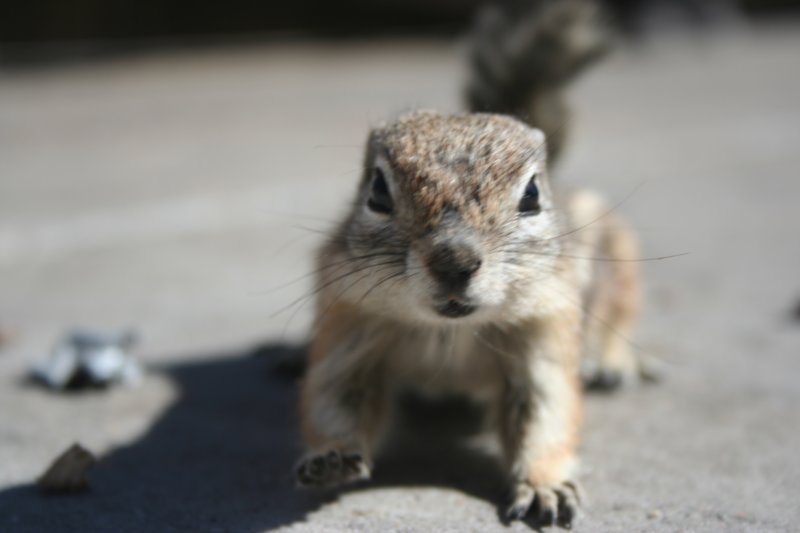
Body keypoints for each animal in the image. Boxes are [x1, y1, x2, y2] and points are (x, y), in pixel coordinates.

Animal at [294, 0, 636, 524]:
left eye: (532, 194)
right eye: (377, 192)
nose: (454, 261)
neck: (449, 331)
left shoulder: (544, 331)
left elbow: (548, 413)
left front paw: (546, 485)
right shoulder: (349, 321)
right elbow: (335, 396)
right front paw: (330, 457)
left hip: (618, 257)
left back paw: (614, 363)